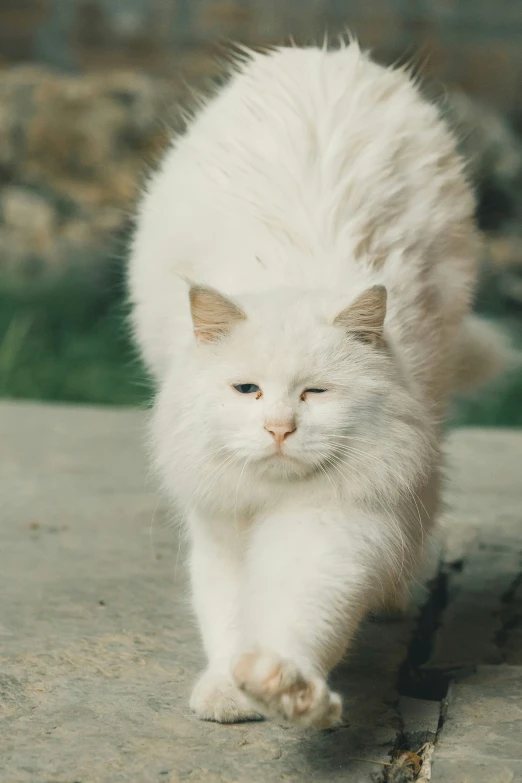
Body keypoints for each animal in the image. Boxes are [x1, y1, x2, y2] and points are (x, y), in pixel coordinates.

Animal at [127, 41, 504, 728]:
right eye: (246, 391)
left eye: (315, 394)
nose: (279, 429)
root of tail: (325, 54)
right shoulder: (223, 525)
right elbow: (229, 615)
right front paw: (231, 691)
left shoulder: (333, 523)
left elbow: (296, 615)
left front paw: (286, 690)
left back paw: (392, 599)